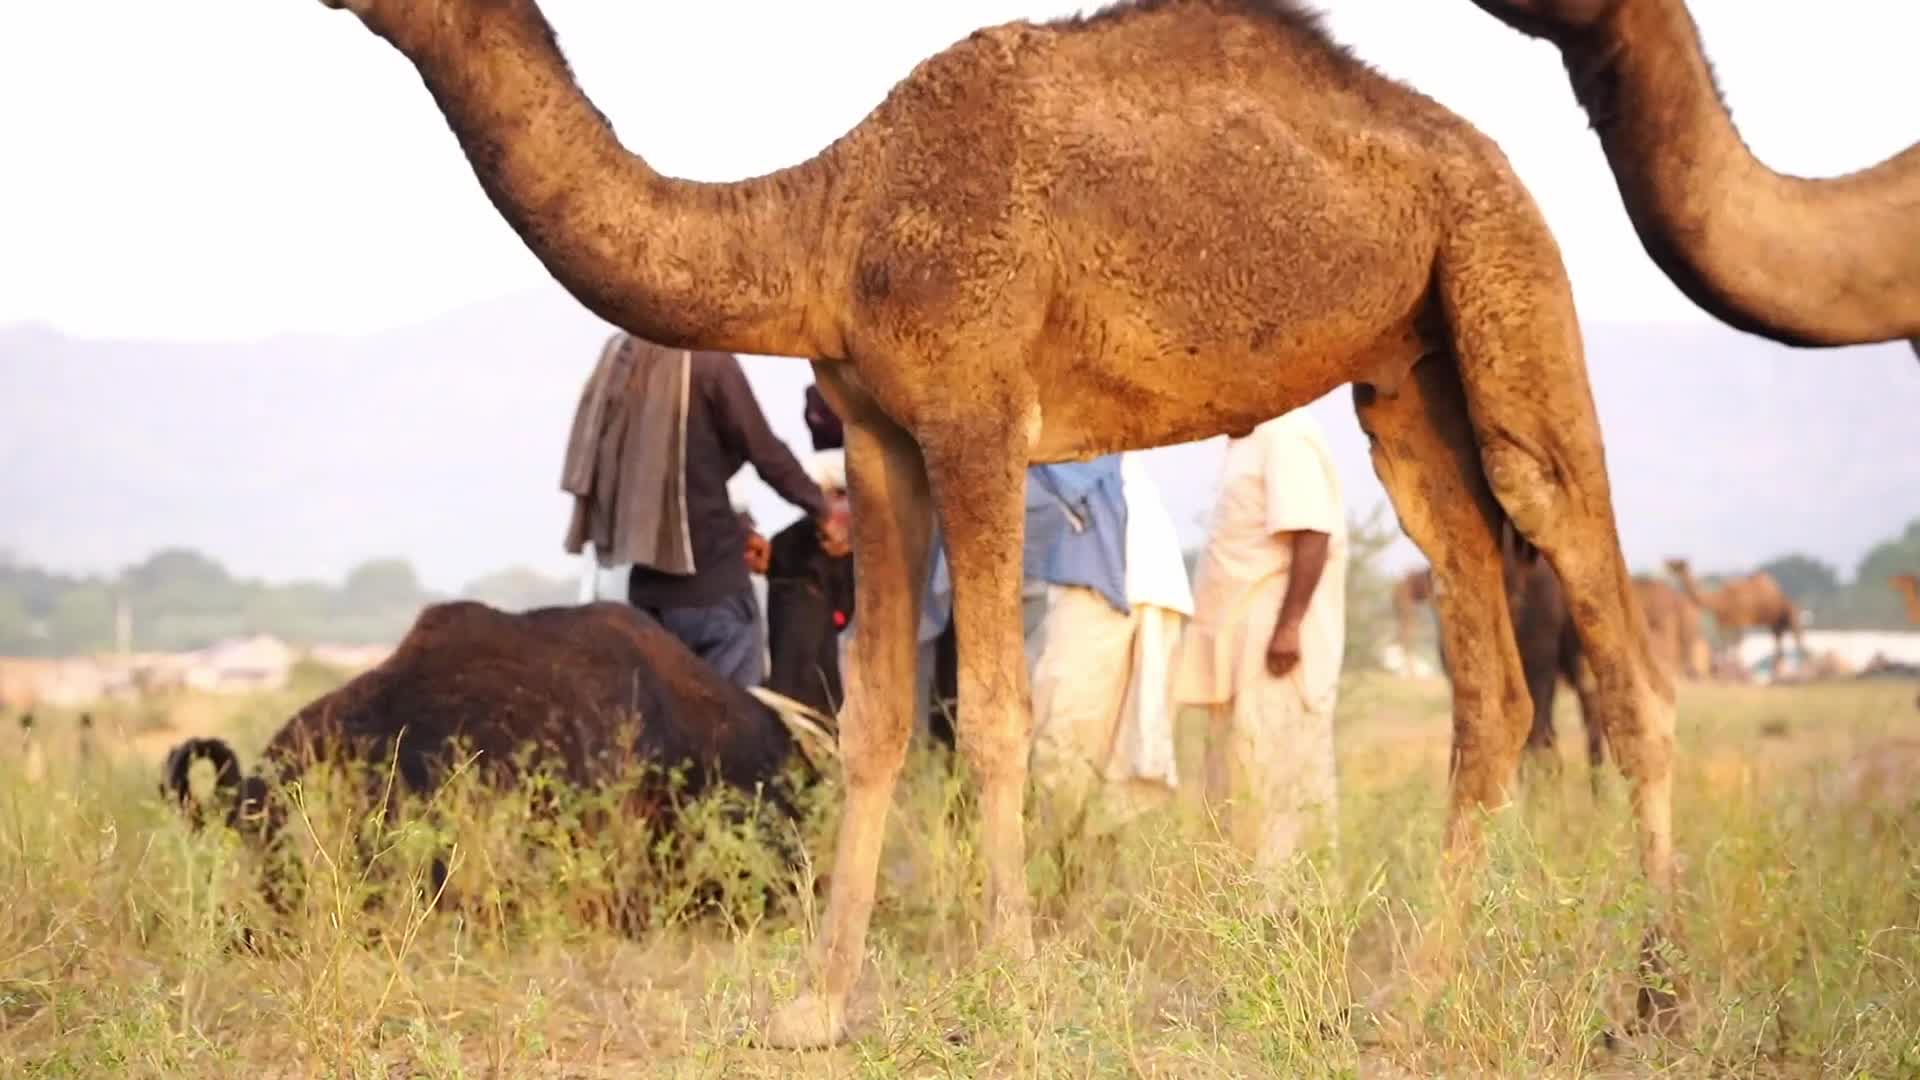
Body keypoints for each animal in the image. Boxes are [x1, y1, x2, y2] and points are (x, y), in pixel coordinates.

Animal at [306, 0, 1680, 1046]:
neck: (831, 221)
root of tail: (1486, 158)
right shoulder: (877, 431)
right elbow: (874, 719)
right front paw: (815, 1006)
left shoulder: (976, 412)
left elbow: (1000, 718)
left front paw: (1013, 989)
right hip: (1408, 384)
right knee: (1491, 683)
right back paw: (1417, 995)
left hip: (1511, 281)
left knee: (1605, 619)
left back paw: (1655, 996)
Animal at [1665, 559, 1807, 677]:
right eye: (1673, 564)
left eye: (1679, 565)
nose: (1668, 565)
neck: (1720, 601)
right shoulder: (1724, 623)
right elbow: (1726, 646)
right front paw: (1726, 672)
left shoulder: (1740, 619)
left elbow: (1736, 645)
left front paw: (1735, 672)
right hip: (1777, 623)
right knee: (1779, 642)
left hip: (1789, 617)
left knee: (1796, 639)